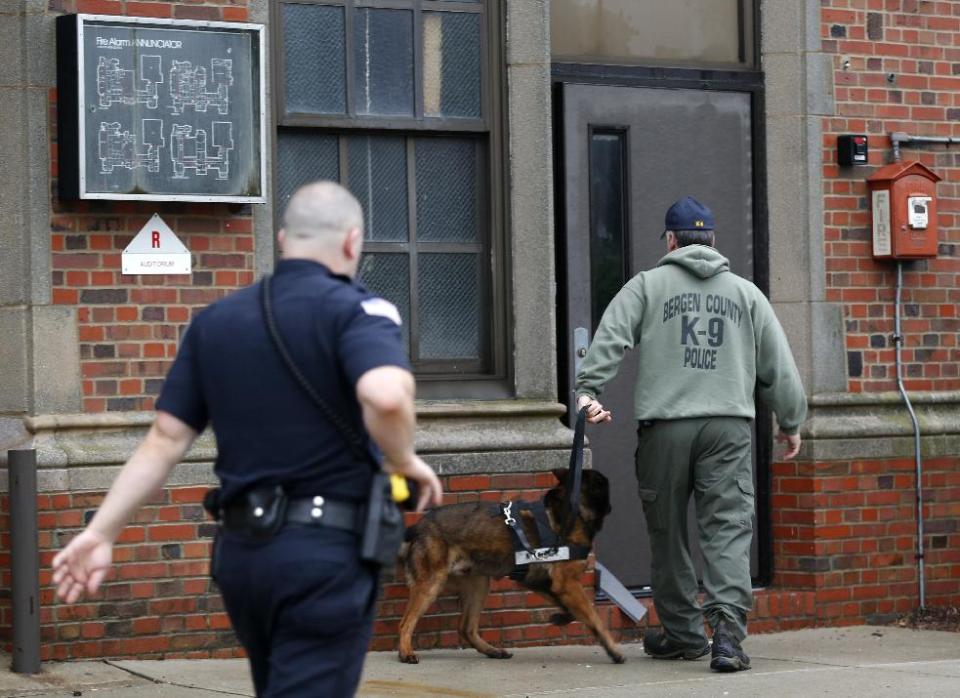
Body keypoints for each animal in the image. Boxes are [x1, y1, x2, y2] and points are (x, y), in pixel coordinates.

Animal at [396, 468, 628, 664]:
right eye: (603, 485)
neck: (573, 510)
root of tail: (418, 526)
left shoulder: (544, 583)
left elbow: (575, 611)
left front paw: (561, 617)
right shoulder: (567, 584)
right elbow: (593, 616)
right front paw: (613, 650)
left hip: (480, 583)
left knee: (465, 628)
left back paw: (491, 651)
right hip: (431, 583)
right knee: (406, 622)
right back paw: (406, 652)